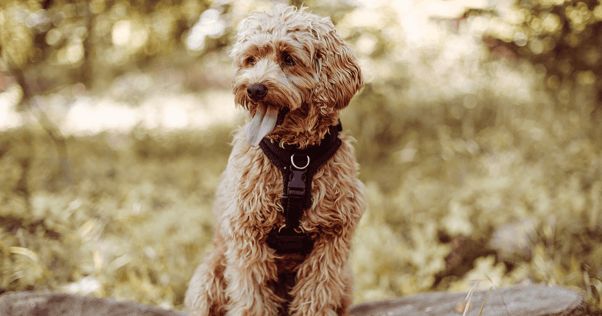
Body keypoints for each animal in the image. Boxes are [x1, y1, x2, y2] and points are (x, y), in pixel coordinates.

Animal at [185, 5, 366, 316]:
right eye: (251, 59)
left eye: (289, 59)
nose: (254, 89)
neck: (296, 157)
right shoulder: (248, 233)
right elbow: (252, 294)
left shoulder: (331, 238)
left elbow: (316, 294)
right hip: (208, 275)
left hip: (346, 281)